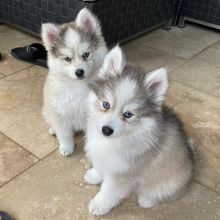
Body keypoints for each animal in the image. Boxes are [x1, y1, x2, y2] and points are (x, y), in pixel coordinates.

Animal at [41, 8, 108, 156]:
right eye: (67, 59)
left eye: (86, 55)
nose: (79, 72)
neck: (79, 86)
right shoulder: (60, 112)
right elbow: (64, 134)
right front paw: (66, 147)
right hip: (48, 108)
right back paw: (53, 129)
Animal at [84, 45, 194, 216]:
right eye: (106, 104)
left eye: (128, 114)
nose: (106, 130)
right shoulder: (106, 158)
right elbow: (101, 166)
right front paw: (95, 175)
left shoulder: (123, 173)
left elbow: (109, 191)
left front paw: (99, 204)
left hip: (167, 182)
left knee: (158, 192)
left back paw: (146, 199)